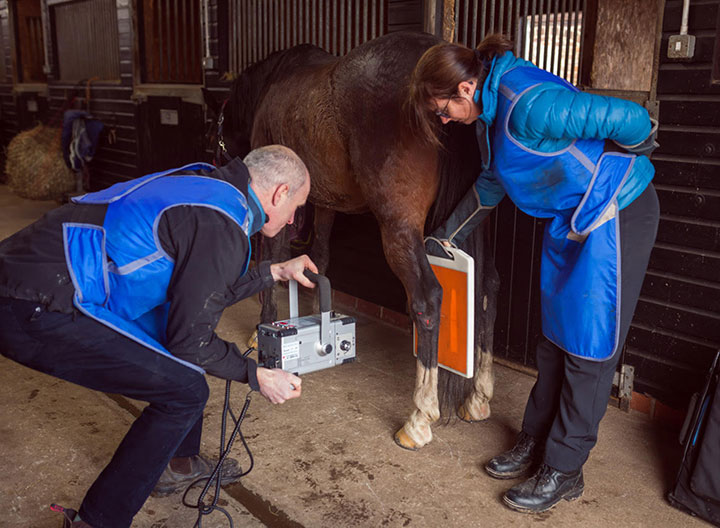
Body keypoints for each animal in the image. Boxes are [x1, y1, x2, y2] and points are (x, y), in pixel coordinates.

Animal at [201, 29, 496, 450]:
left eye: (212, 129)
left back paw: (419, 417)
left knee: (427, 298)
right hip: (476, 215)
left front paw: (264, 328)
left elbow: (272, 258)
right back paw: (479, 397)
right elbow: (319, 256)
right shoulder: (324, 203)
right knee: (487, 288)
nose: (214, 170)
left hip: (399, 227)